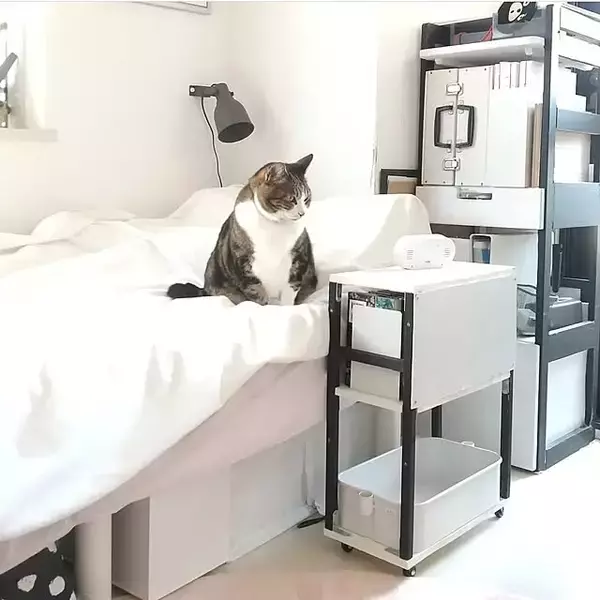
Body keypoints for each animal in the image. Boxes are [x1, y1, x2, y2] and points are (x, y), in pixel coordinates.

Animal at [167, 154, 318, 306]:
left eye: (306, 199)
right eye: (292, 199)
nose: (302, 213)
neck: (275, 226)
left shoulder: (299, 260)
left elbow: (289, 292)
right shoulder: (243, 266)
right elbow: (256, 292)